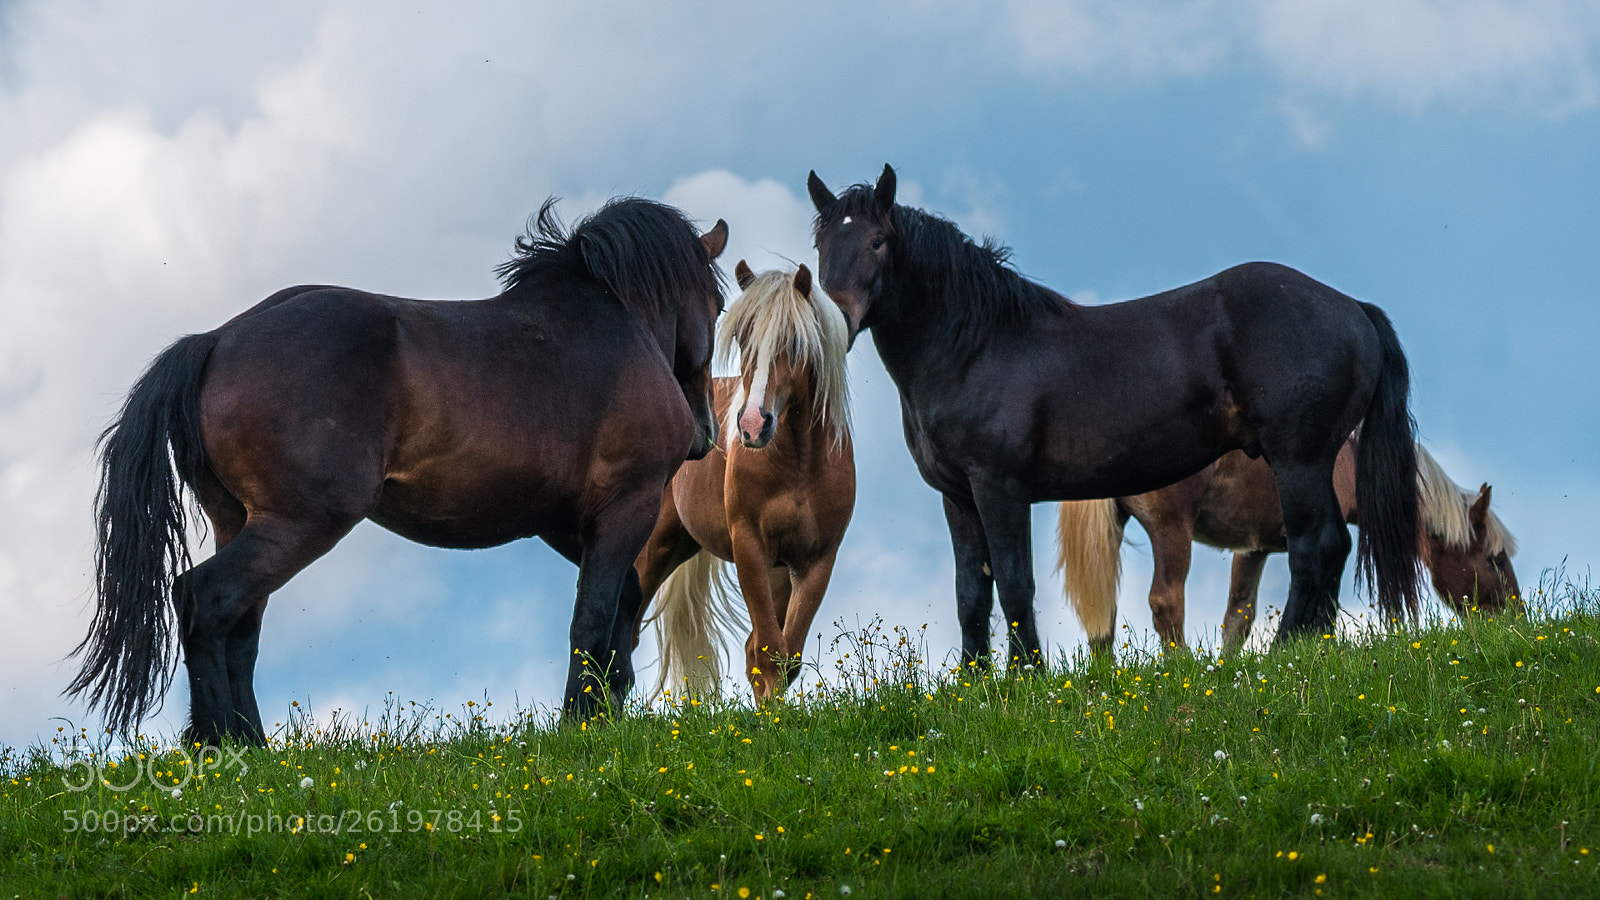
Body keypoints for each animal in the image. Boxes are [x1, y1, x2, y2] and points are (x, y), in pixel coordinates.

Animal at [70, 198, 729, 744]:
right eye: (718, 304)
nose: (705, 432)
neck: (616, 327)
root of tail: (214, 342)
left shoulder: (566, 523)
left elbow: (623, 604)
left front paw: (608, 707)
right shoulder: (625, 507)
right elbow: (593, 618)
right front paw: (583, 722)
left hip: (243, 521)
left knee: (241, 626)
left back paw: (249, 745)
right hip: (300, 522)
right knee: (206, 599)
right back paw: (221, 744)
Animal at [633, 261, 855, 698]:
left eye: (794, 340)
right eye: (741, 335)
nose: (752, 425)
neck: (800, 465)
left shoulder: (814, 561)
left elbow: (783, 654)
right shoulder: (750, 548)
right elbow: (769, 652)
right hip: (656, 546)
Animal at [807, 164, 1420, 672]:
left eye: (878, 241)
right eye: (821, 242)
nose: (836, 318)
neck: (976, 346)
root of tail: (1354, 310)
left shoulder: (1000, 487)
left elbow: (1014, 582)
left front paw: (1025, 679)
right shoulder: (958, 496)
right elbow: (971, 592)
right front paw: (975, 685)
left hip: (1298, 459)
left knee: (1314, 546)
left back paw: (1283, 654)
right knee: (1331, 547)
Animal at [1057, 437, 1521, 654]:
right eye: (1495, 561)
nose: (1516, 620)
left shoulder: (1252, 549)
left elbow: (1238, 619)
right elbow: (1321, 605)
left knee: (1103, 614)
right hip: (1171, 531)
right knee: (1166, 602)